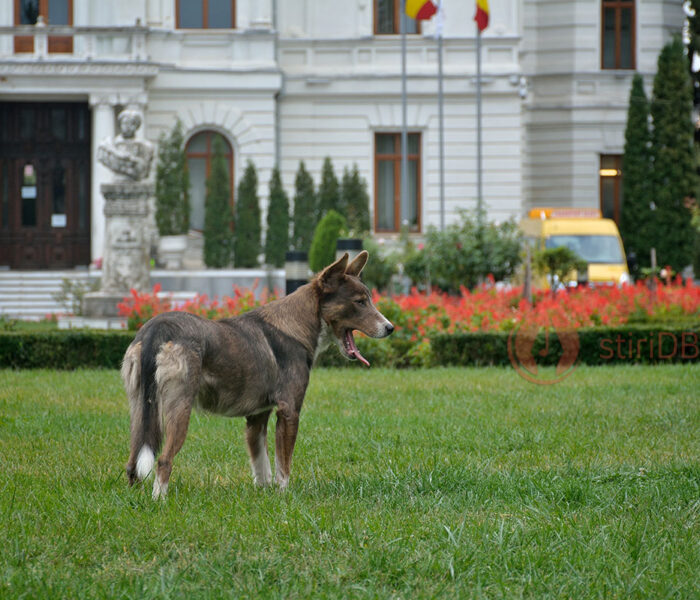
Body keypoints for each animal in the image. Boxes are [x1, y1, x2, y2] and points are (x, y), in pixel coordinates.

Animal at [120, 251, 394, 500]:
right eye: (360, 302)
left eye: (368, 299)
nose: (390, 328)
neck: (298, 325)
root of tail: (157, 327)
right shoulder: (289, 411)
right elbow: (283, 465)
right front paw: (284, 497)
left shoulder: (257, 417)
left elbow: (262, 465)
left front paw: (264, 494)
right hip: (179, 408)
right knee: (163, 460)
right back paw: (160, 501)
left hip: (141, 410)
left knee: (134, 462)